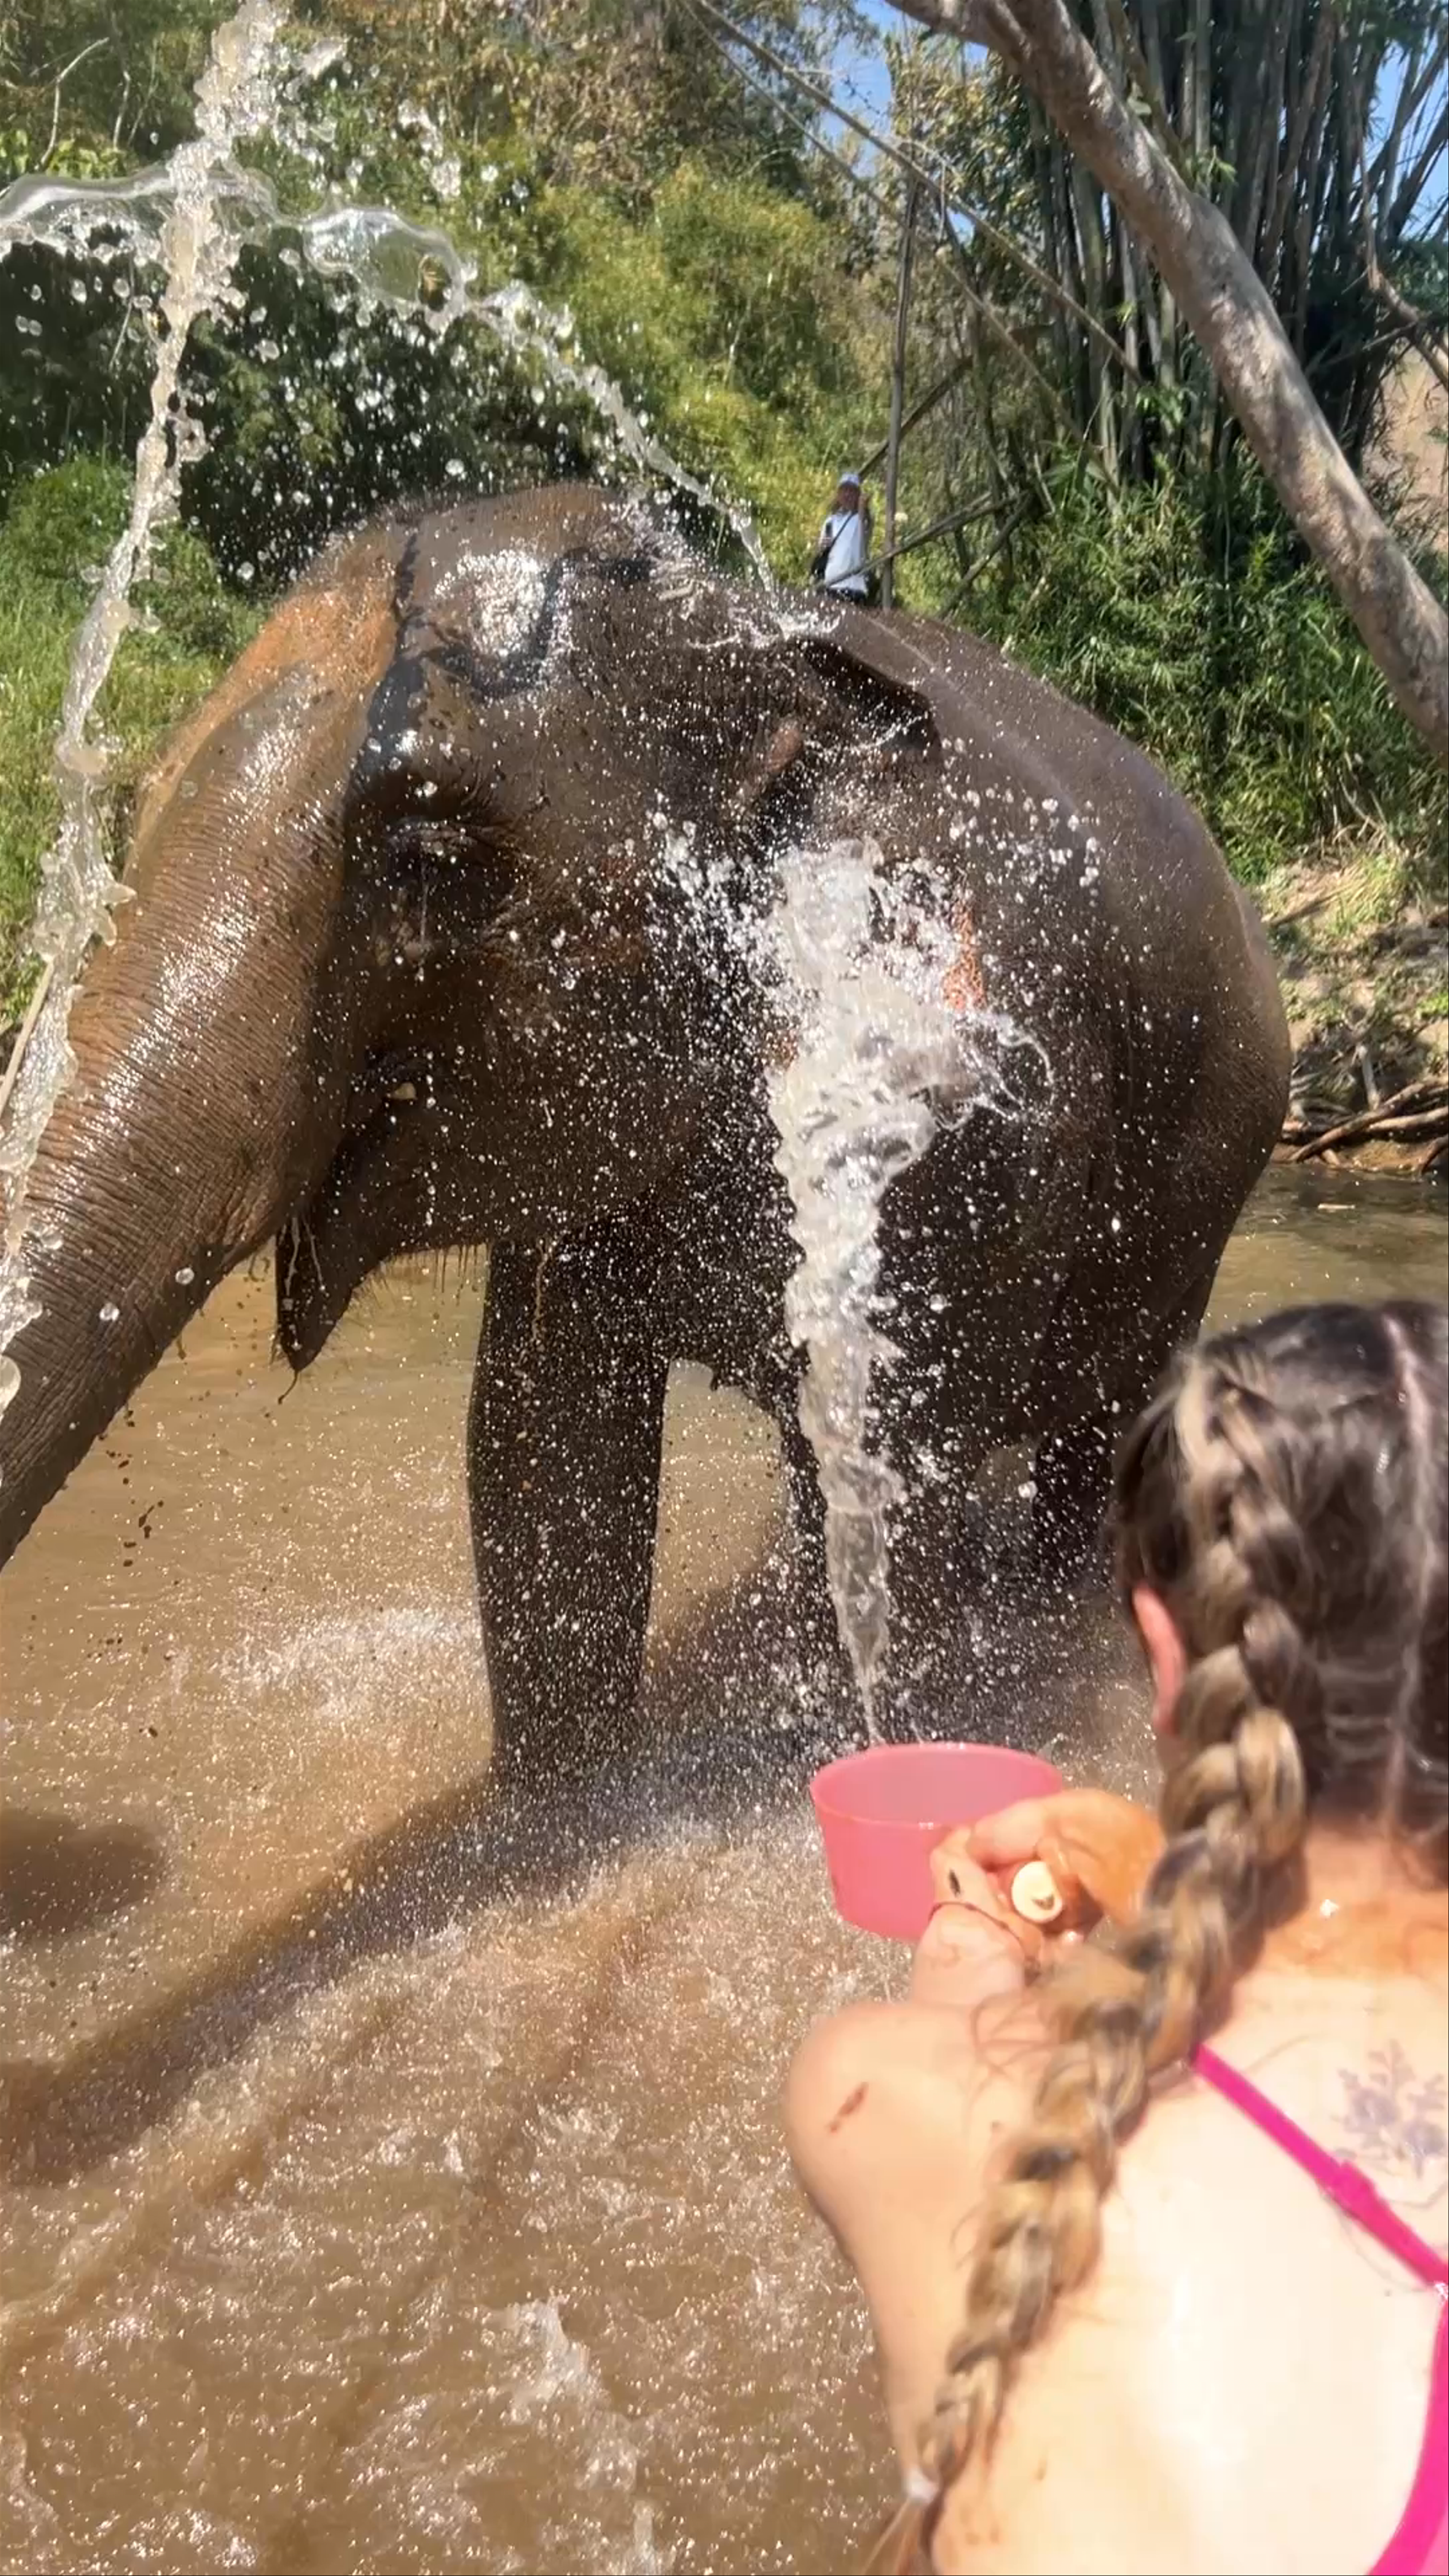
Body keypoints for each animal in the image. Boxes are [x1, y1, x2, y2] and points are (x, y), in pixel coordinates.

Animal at [0, 482, 1289, 1783]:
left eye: (429, 858)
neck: (735, 626)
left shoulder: (954, 1101)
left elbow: (888, 1471)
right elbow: (543, 1457)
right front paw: (563, 1807)